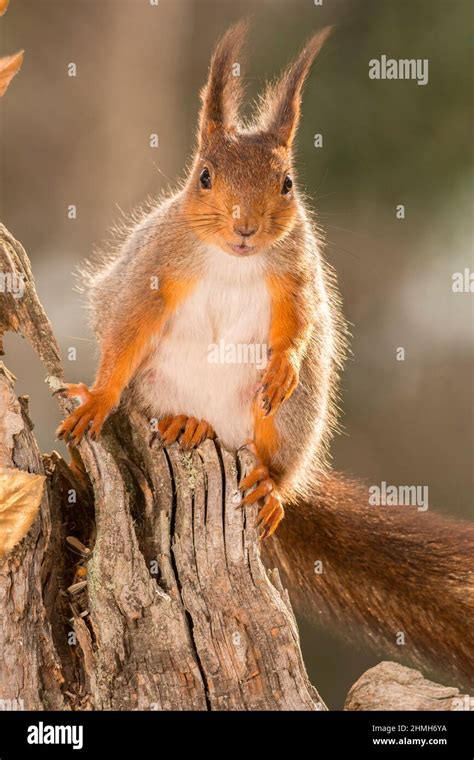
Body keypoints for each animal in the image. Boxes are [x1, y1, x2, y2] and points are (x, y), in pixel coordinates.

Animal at [56, 25, 474, 688]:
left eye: (287, 183)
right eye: (203, 175)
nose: (245, 227)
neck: (234, 259)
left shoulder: (295, 271)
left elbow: (299, 323)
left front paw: (284, 365)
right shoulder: (154, 267)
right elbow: (126, 327)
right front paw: (96, 397)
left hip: (289, 420)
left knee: (277, 456)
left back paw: (272, 485)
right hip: (157, 395)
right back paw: (184, 422)